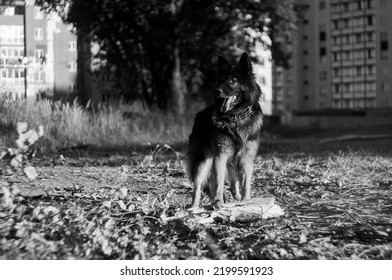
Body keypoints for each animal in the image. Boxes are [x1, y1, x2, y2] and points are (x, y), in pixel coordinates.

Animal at [187, 52, 264, 209]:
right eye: (221, 80)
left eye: (233, 80)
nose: (217, 91)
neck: (235, 117)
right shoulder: (220, 155)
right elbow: (219, 182)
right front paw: (218, 202)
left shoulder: (246, 157)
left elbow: (245, 183)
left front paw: (246, 201)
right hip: (203, 161)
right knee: (197, 186)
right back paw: (193, 207)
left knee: (234, 181)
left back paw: (237, 197)